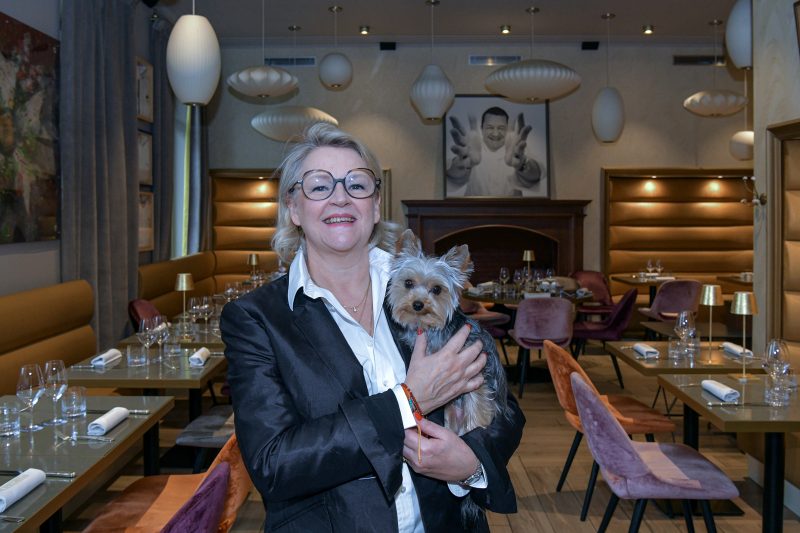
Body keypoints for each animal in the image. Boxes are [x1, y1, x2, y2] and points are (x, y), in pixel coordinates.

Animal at [390, 229, 512, 440]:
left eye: (437, 289)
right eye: (408, 283)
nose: (418, 304)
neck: (430, 330)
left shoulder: (479, 375)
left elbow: (478, 407)